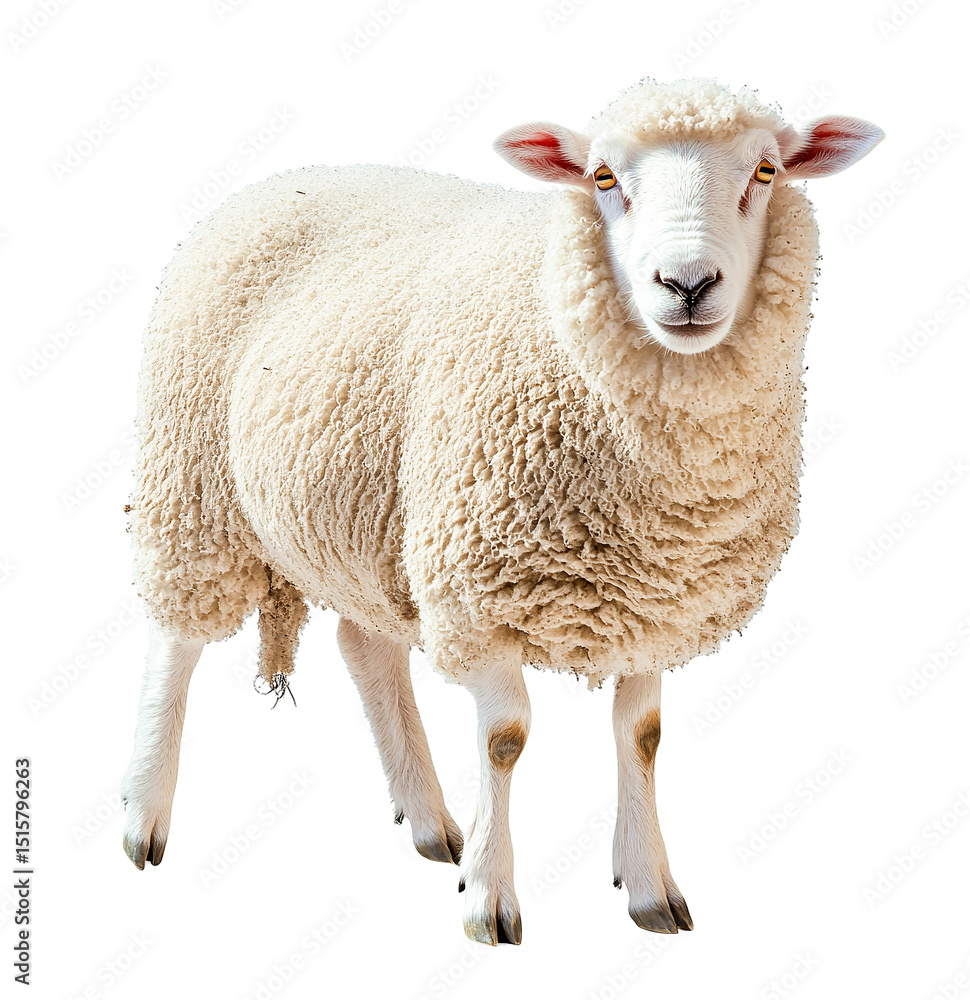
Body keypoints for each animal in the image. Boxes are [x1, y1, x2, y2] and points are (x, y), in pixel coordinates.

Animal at [120, 76, 883, 944]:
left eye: (765, 170)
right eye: (602, 177)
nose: (687, 285)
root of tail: (282, 179)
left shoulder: (658, 600)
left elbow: (643, 736)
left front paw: (649, 886)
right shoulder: (476, 591)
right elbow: (506, 738)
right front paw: (490, 896)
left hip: (371, 524)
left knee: (365, 646)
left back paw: (428, 820)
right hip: (194, 483)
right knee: (174, 642)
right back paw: (144, 815)